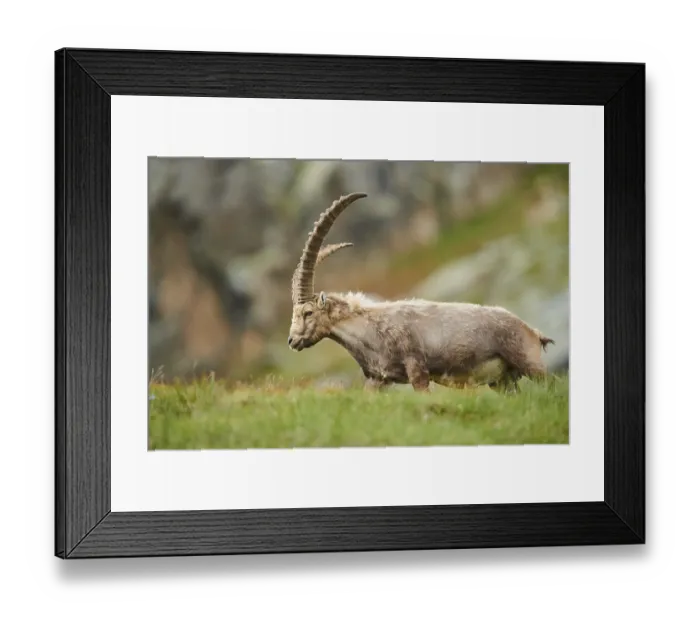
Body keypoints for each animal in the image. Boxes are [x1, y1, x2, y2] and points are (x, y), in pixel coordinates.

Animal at [288, 192, 555, 392]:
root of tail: (532, 331)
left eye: (308, 312)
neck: (370, 327)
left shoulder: (417, 369)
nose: (292, 340)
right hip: (502, 381)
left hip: (529, 363)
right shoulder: (377, 379)